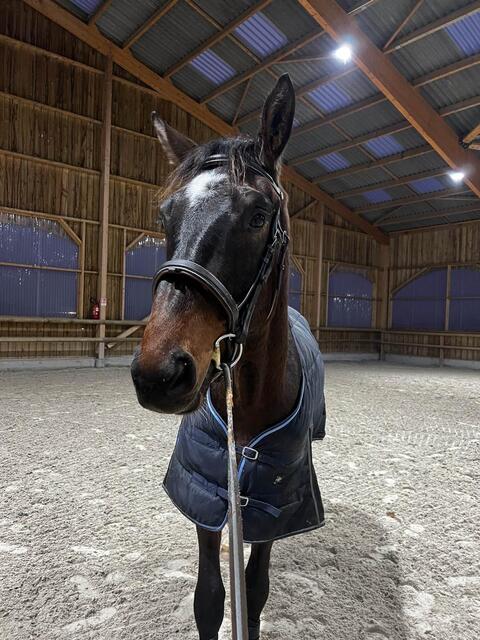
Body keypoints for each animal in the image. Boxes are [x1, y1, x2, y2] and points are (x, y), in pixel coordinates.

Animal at [131, 74, 326, 640]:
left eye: (259, 216)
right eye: (165, 215)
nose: (159, 375)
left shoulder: (270, 506)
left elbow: (253, 592)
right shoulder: (207, 496)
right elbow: (211, 599)